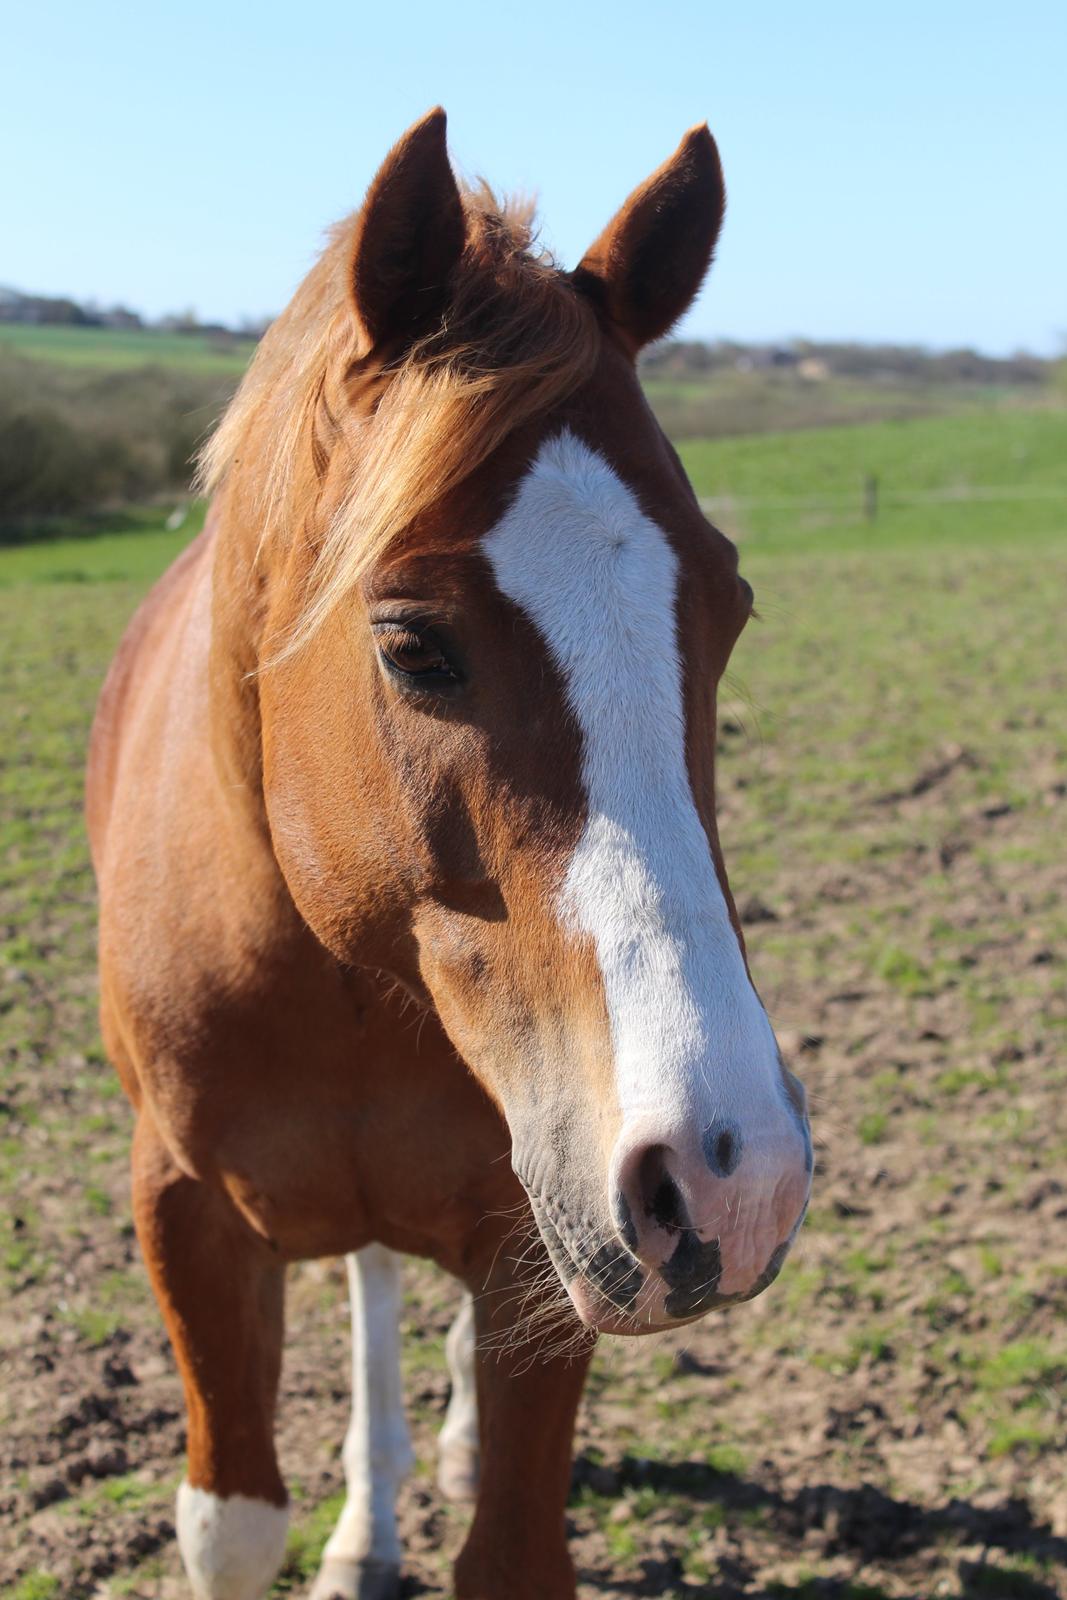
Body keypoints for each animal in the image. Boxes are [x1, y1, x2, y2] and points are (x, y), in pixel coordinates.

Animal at [87, 112, 812, 1600]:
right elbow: (230, 1521)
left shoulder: (535, 1225)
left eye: (725, 608)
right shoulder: (183, 1212)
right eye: (414, 645)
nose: (735, 1176)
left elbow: (513, 1533)